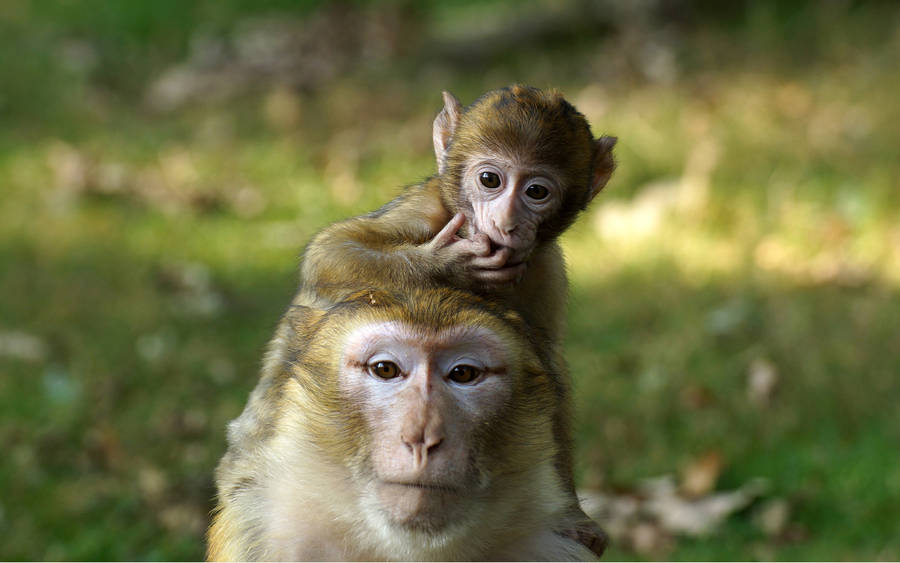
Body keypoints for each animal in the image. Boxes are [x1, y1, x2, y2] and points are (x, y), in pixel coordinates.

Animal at [295, 85, 616, 555]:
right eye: (490, 181)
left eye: (537, 191)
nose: (507, 222)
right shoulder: (427, 209)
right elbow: (331, 252)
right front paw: (450, 266)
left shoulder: (545, 266)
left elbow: (547, 370)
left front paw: (572, 514)